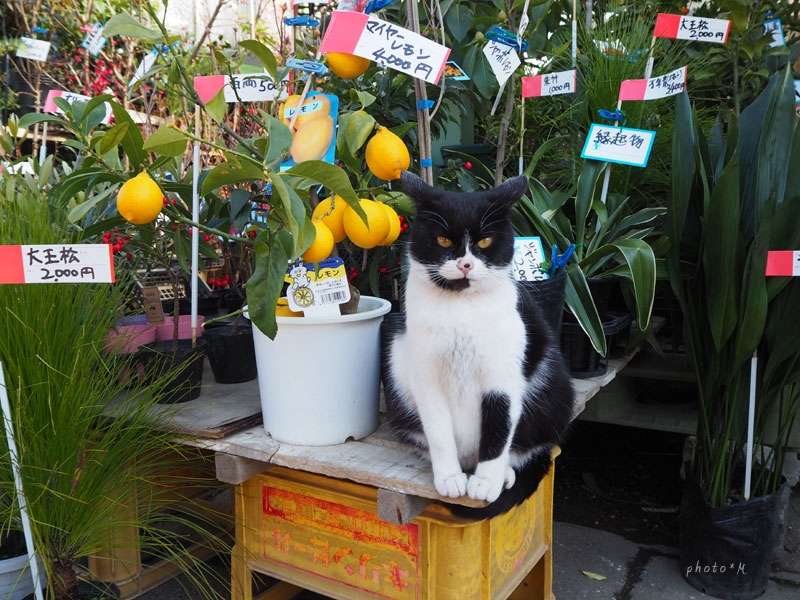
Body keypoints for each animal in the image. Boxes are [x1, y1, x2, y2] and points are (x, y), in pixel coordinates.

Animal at [382, 171, 576, 516]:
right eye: (443, 241)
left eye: (485, 241)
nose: (465, 264)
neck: (461, 309)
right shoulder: (426, 377)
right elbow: (439, 432)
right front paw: (449, 477)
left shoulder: (502, 377)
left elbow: (498, 431)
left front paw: (486, 482)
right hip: (396, 358)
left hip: (556, 392)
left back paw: (504, 474)